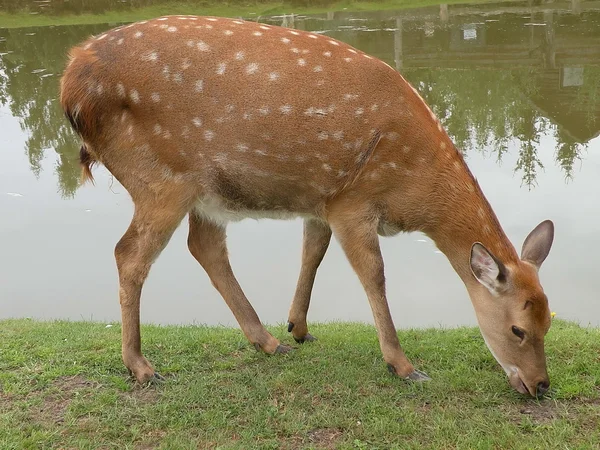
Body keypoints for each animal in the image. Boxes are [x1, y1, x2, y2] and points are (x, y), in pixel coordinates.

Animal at [59, 15, 552, 398]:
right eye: (518, 329)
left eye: (550, 320)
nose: (541, 384)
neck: (413, 188)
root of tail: (71, 82)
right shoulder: (355, 199)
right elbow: (373, 275)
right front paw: (403, 365)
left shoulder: (323, 200)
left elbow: (312, 253)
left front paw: (297, 326)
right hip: (161, 177)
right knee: (130, 254)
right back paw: (141, 366)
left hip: (203, 191)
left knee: (204, 247)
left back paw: (266, 340)